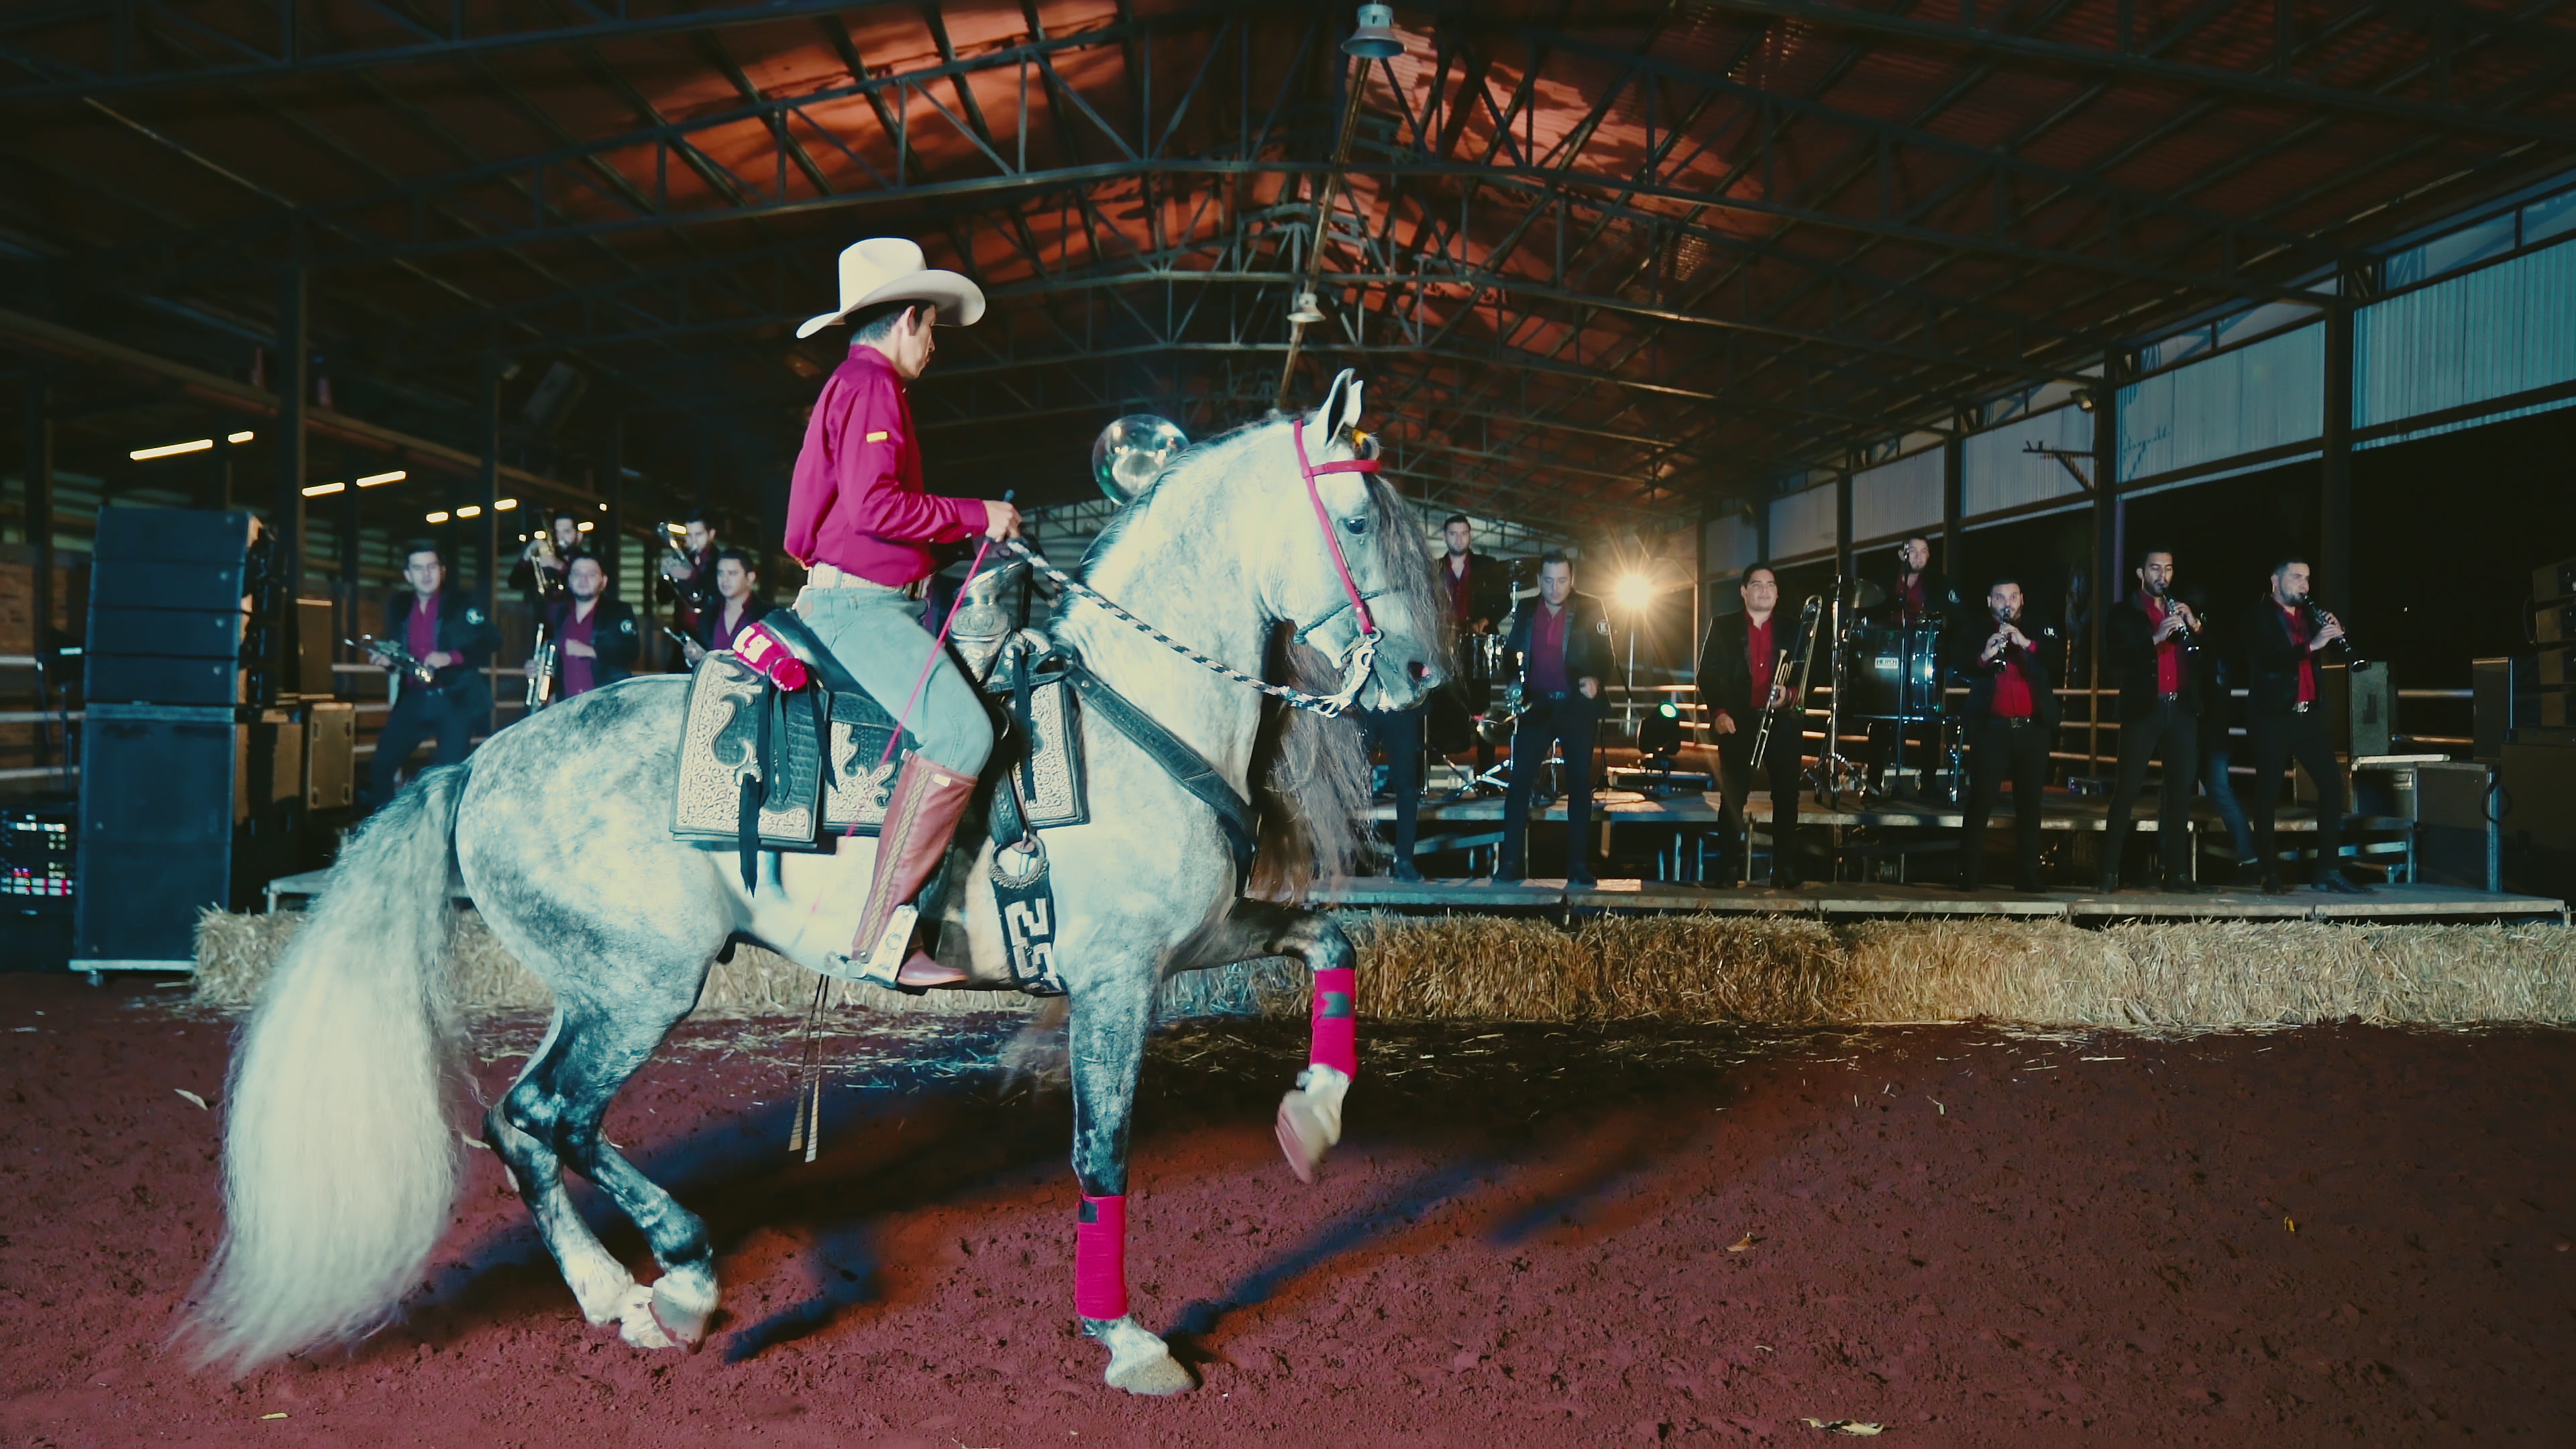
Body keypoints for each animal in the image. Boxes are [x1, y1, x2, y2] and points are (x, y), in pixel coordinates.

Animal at [195, 371, 1452, 1392]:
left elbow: (1332, 941)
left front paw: (1315, 1121)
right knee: (555, 1116)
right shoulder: (1114, 980)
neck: (1128, 713)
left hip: (593, 986)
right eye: (1355, 517)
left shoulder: (1202, 937)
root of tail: (474, 765)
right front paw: (1128, 1339)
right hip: (643, 983)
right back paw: (681, 1280)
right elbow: (1102, 1154)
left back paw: (616, 1295)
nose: (1424, 674)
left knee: (524, 1123)